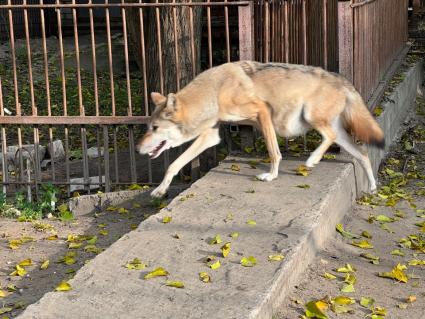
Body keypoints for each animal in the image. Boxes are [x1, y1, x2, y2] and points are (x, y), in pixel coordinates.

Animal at [137, 60, 384, 198]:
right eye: (149, 127)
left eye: (155, 128)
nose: (138, 149)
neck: (215, 92)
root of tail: (342, 79)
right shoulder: (210, 136)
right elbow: (174, 165)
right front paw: (160, 190)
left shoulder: (262, 112)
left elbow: (275, 152)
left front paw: (272, 176)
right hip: (339, 134)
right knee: (363, 153)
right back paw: (372, 188)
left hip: (313, 119)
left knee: (330, 138)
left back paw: (312, 160)